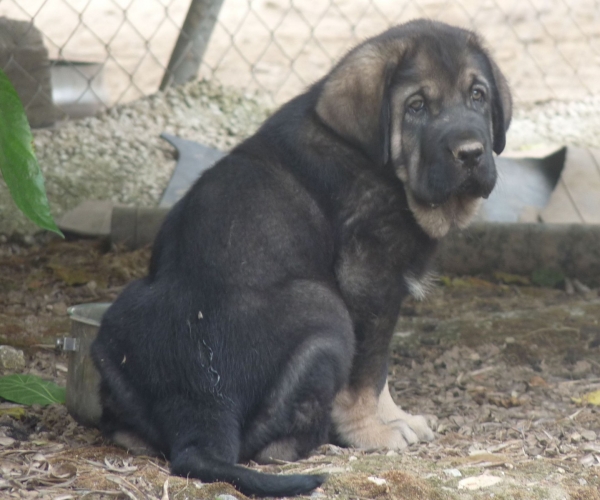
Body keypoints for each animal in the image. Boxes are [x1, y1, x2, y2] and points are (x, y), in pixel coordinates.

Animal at [91, 18, 512, 496]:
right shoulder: (369, 280)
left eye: (478, 95)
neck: (384, 164)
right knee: (270, 447)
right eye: (417, 106)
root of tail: (202, 403)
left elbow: (380, 370)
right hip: (327, 311)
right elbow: (369, 371)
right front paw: (374, 432)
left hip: (116, 325)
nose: (471, 153)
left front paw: (398, 418)